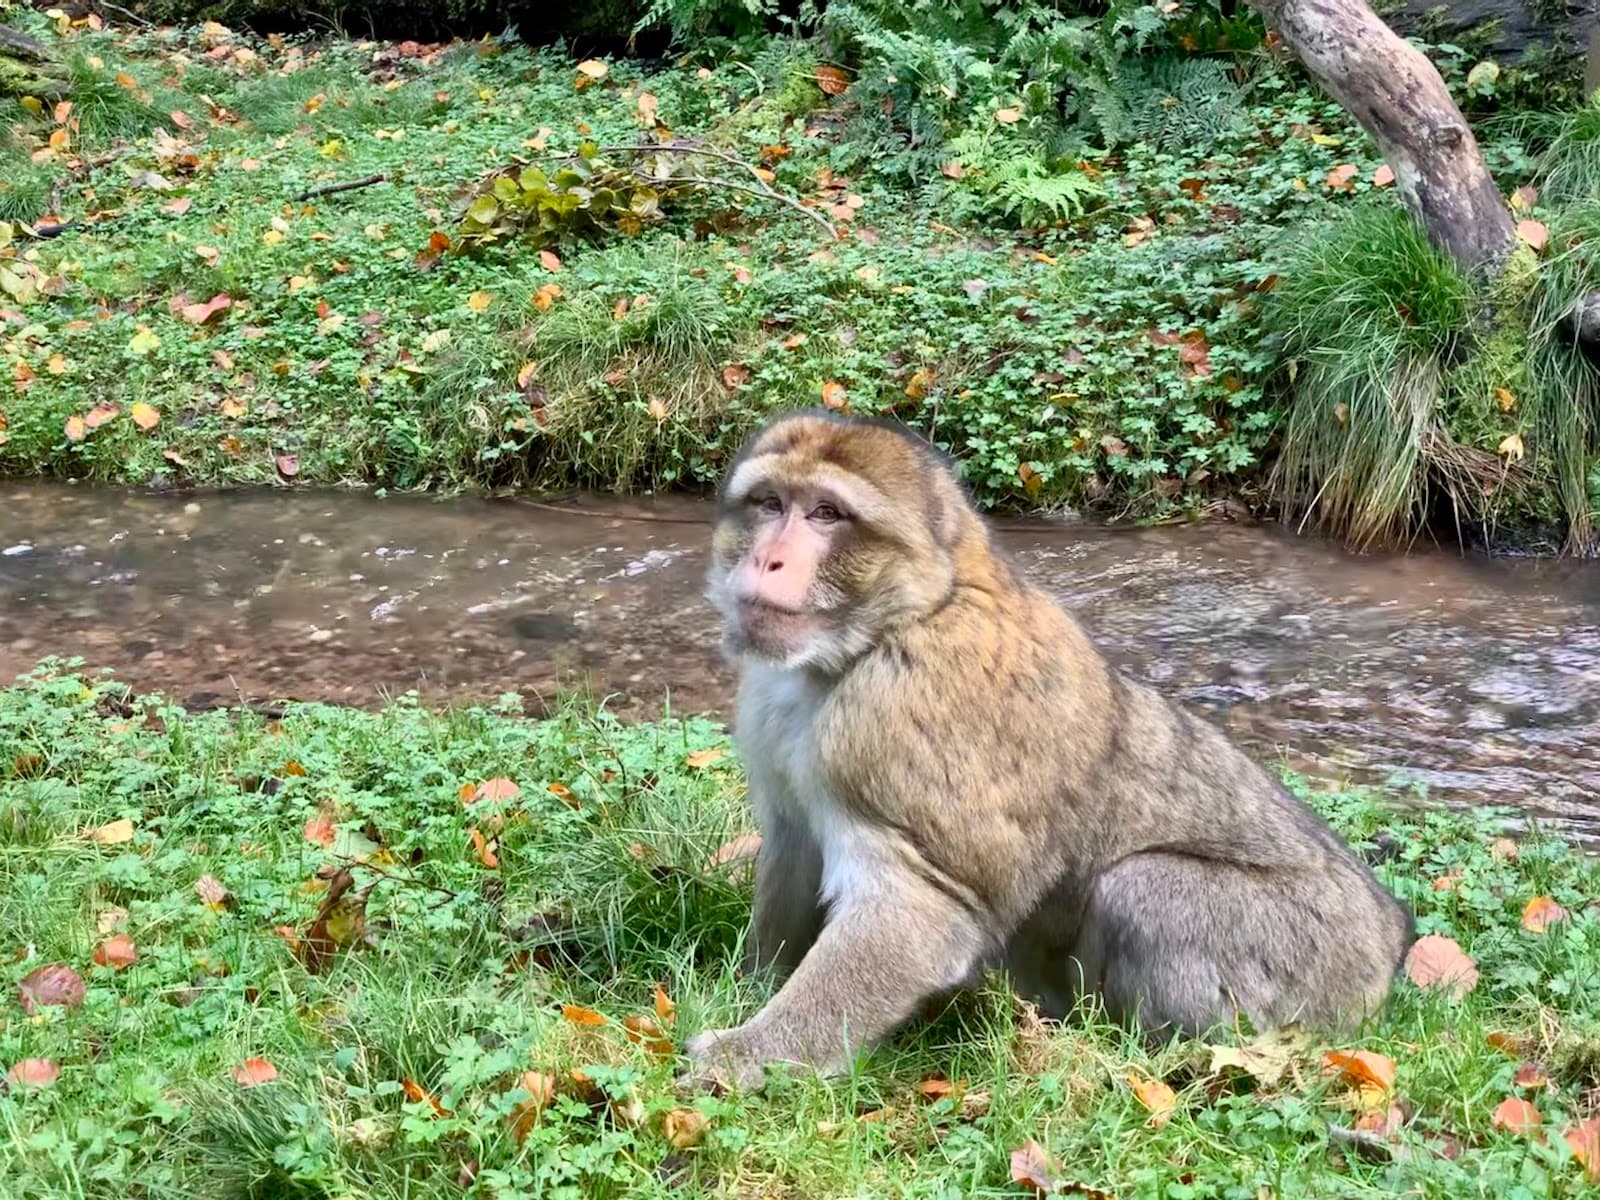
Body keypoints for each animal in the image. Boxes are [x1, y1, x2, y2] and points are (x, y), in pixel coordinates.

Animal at [684, 408, 1414, 1093]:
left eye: (826, 514)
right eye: (770, 504)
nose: (767, 560)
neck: (896, 623)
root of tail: (1386, 953)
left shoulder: (890, 723)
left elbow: (921, 906)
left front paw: (747, 1056)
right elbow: (794, 844)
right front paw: (745, 985)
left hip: (1307, 965)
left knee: (1144, 887)